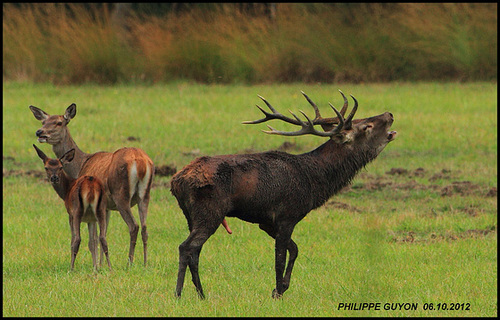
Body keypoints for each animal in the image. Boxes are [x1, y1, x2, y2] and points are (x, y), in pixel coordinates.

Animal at [33, 144, 111, 272]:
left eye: (61, 167)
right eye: (46, 167)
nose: (54, 178)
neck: (66, 191)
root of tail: (90, 184)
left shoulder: (70, 214)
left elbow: (72, 240)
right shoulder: (91, 219)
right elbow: (92, 242)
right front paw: (95, 267)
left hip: (77, 210)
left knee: (77, 239)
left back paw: (71, 268)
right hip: (101, 209)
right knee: (103, 238)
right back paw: (110, 267)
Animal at [172, 91, 398, 298]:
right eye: (366, 126)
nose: (389, 114)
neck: (313, 182)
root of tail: (176, 181)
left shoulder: (267, 222)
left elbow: (295, 249)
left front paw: (280, 288)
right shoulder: (287, 215)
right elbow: (279, 259)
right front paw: (278, 292)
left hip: (191, 215)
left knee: (195, 251)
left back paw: (201, 294)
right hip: (210, 211)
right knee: (186, 247)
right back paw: (179, 294)